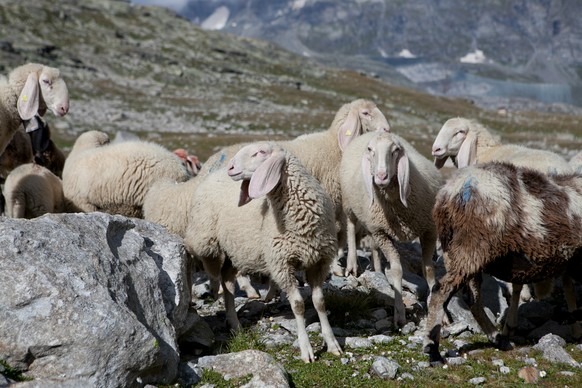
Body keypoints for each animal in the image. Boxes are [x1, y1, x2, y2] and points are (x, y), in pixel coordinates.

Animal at [185, 141, 344, 362]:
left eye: (260, 152)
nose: (231, 168)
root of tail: (213, 174)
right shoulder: (281, 264)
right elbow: (298, 305)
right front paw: (306, 349)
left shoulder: (319, 261)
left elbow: (319, 302)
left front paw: (332, 344)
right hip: (204, 238)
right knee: (196, 254)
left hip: (235, 250)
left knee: (227, 282)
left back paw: (234, 323)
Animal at [340, 131, 444, 328]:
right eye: (370, 149)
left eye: (395, 150)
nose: (381, 176)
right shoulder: (383, 233)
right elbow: (396, 271)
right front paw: (400, 314)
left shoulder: (429, 230)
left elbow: (428, 270)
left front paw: (438, 311)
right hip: (350, 206)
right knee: (350, 227)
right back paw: (352, 264)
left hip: (373, 227)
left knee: (374, 248)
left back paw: (378, 271)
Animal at [424, 161, 582, 364]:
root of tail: (451, 191)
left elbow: (568, 290)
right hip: (472, 245)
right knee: (442, 291)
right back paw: (433, 349)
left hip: (455, 251)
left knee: (471, 297)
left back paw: (497, 338)